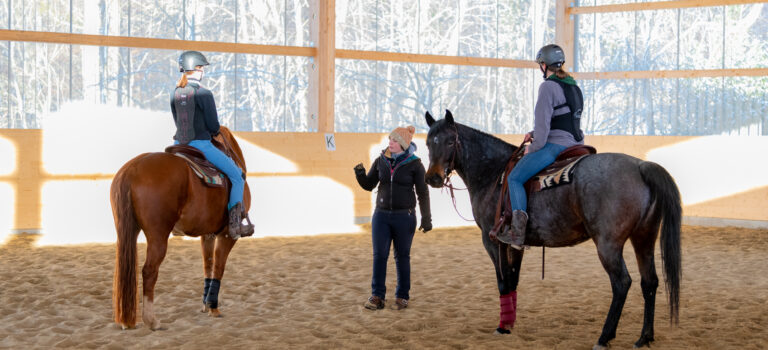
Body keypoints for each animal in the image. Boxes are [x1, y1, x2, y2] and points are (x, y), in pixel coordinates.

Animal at [111, 127, 250, 330]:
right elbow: (218, 268)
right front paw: (213, 308)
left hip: (126, 232)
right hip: (158, 237)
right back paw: (151, 320)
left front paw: (205, 305)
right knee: (149, 271)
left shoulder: (207, 234)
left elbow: (208, 266)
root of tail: (132, 169)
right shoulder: (227, 235)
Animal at [424, 110, 680, 348]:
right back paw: (644, 337)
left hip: (608, 245)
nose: (433, 178)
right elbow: (513, 280)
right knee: (650, 282)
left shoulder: (493, 240)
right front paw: (509, 324)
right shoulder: (515, 244)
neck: (493, 172)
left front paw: (502, 326)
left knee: (622, 283)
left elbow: (503, 281)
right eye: (428, 142)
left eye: (450, 141)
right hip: (644, 238)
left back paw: (604, 337)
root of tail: (640, 166)